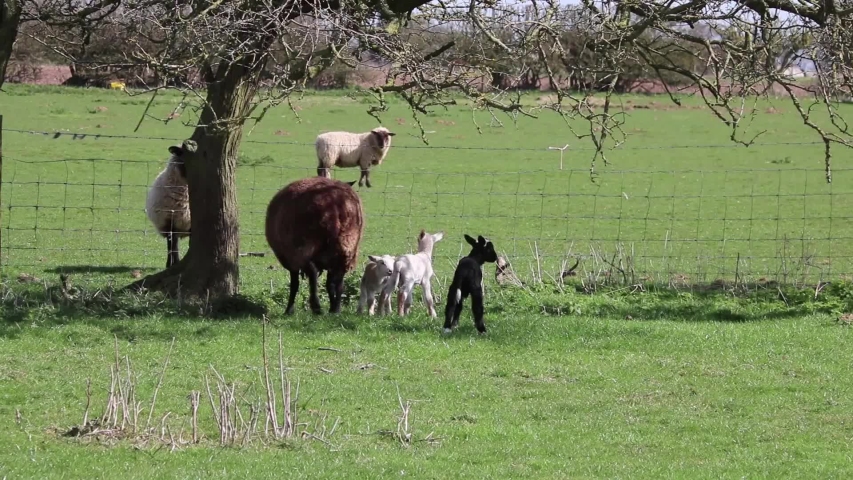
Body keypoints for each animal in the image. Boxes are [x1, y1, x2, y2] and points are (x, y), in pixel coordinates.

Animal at [265, 177, 364, 315]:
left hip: (304, 247)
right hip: (347, 247)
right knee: (338, 284)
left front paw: (289, 310)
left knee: (312, 273)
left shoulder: (290, 259)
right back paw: (335, 309)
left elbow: (294, 284)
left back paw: (316, 306)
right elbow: (330, 284)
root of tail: (335, 203)